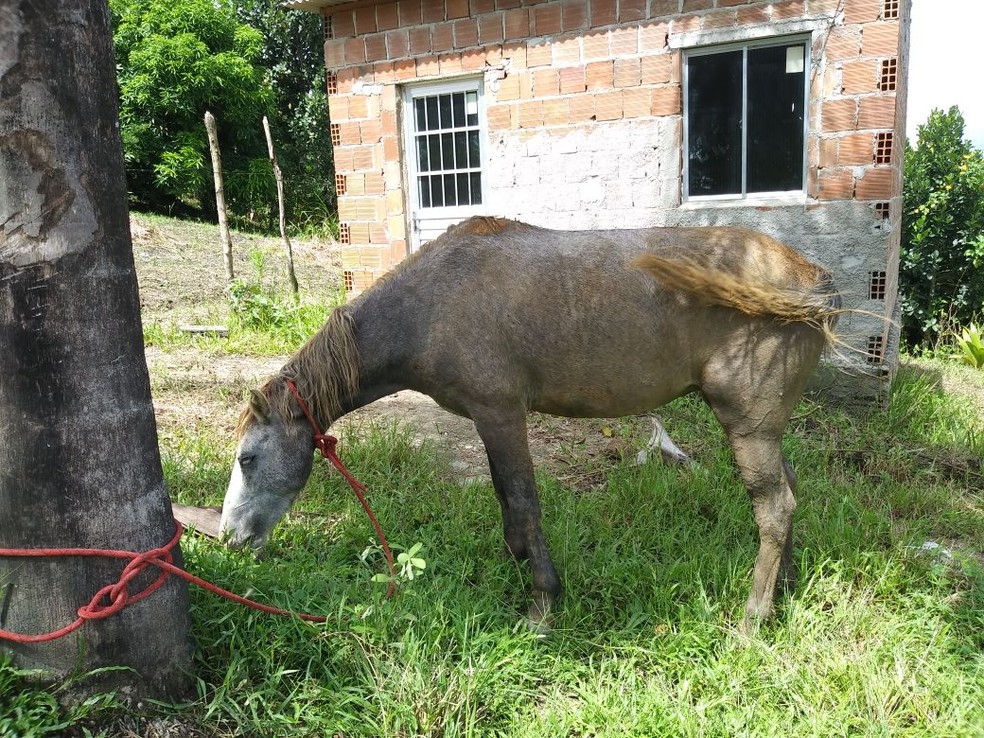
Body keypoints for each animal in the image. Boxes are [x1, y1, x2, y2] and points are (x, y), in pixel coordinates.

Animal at [221, 216, 836, 628]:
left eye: (247, 458)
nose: (231, 538)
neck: (430, 304)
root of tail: (812, 279)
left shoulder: (500, 414)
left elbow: (522, 501)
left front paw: (543, 602)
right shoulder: (489, 421)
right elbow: (507, 502)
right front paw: (520, 564)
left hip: (747, 426)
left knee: (774, 508)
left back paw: (753, 617)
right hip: (763, 428)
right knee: (790, 493)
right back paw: (783, 589)